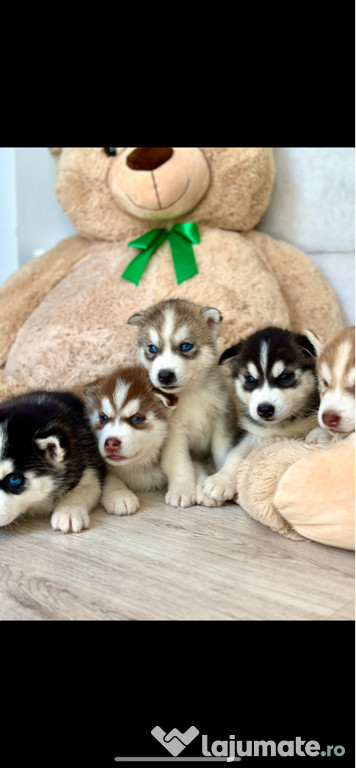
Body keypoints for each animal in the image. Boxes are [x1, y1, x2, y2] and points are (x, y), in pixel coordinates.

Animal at [203, 324, 320, 504]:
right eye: (250, 379)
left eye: (285, 376)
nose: (264, 409)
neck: (282, 425)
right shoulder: (252, 433)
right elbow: (234, 454)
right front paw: (221, 480)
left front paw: (318, 434)